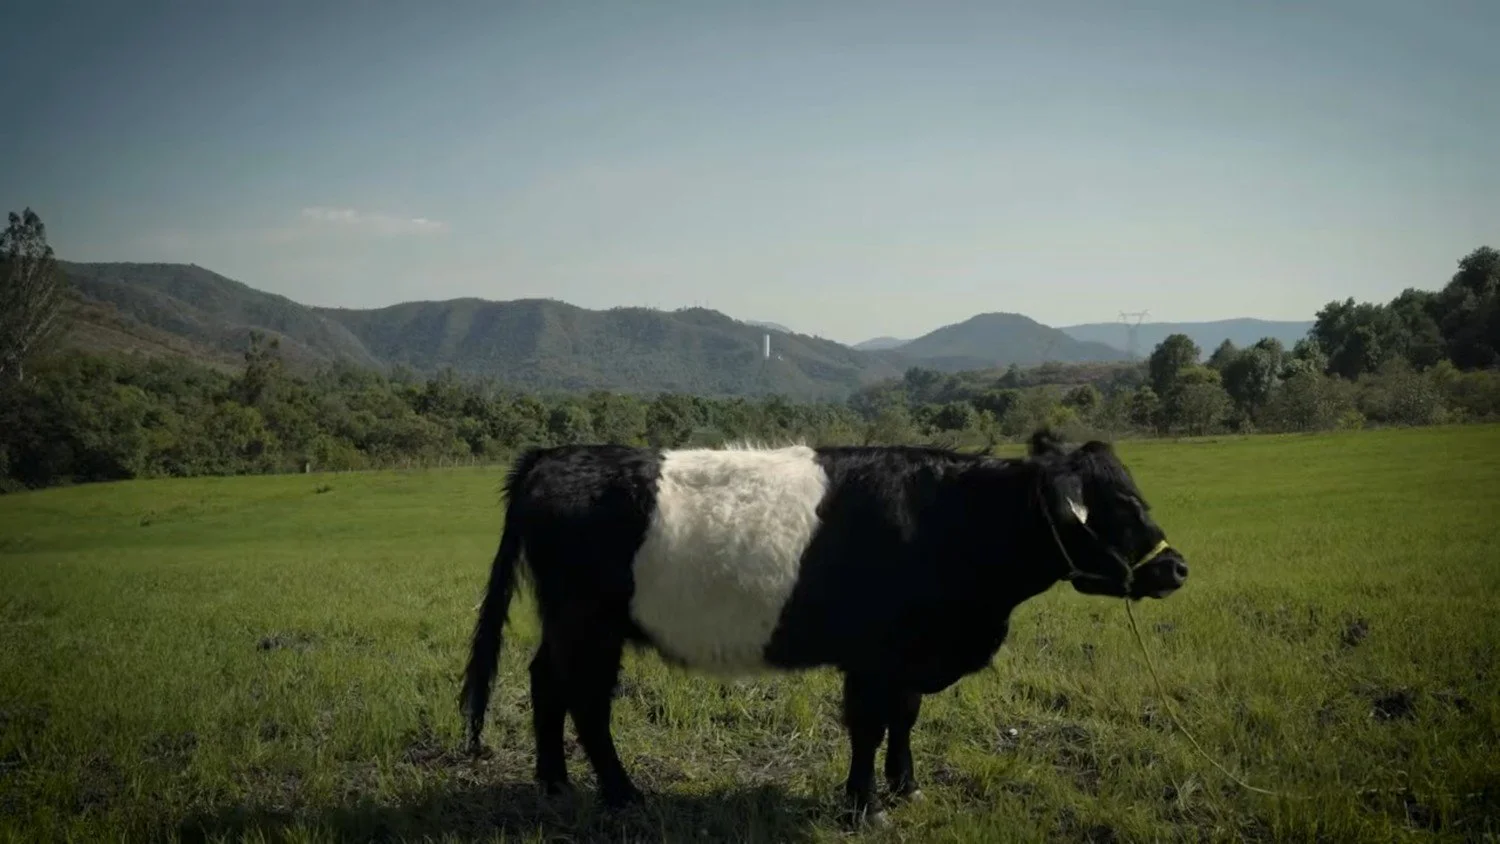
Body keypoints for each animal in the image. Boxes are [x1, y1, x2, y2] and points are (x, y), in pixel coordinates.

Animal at [460, 428, 1188, 826]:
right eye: (1120, 505)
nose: (1175, 568)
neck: (953, 519)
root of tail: (556, 456)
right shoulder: (872, 656)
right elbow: (868, 726)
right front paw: (863, 806)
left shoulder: (907, 655)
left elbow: (904, 717)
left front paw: (905, 784)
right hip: (590, 625)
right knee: (585, 702)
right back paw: (621, 794)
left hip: (567, 625)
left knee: (546, 684)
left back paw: (555, 784)